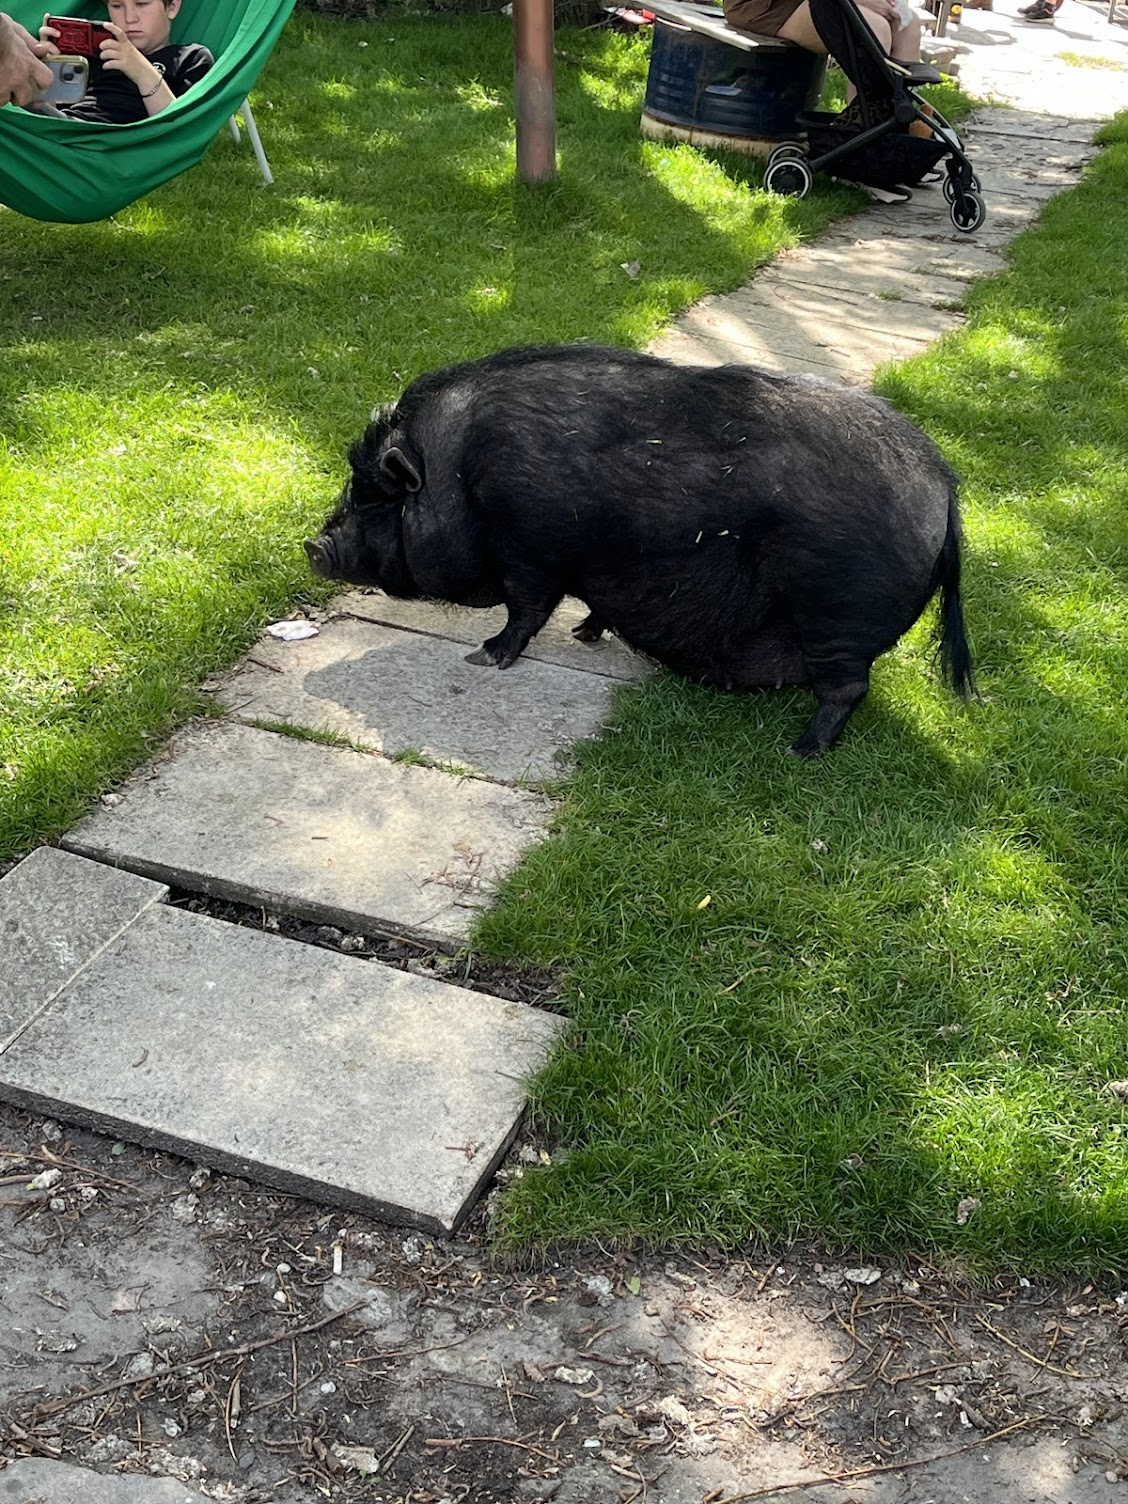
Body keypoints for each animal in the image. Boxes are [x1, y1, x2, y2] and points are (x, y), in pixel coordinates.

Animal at [305, 344, 974, 756]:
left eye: (376, 498)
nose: (313, 544)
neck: (462, 475)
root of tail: (944, 491)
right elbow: (588, 604)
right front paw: (585, 636)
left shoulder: (530, 551)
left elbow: (526, 611)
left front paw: (484, 657)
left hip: (835, 611)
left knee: (847, 688)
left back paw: (801, 750)